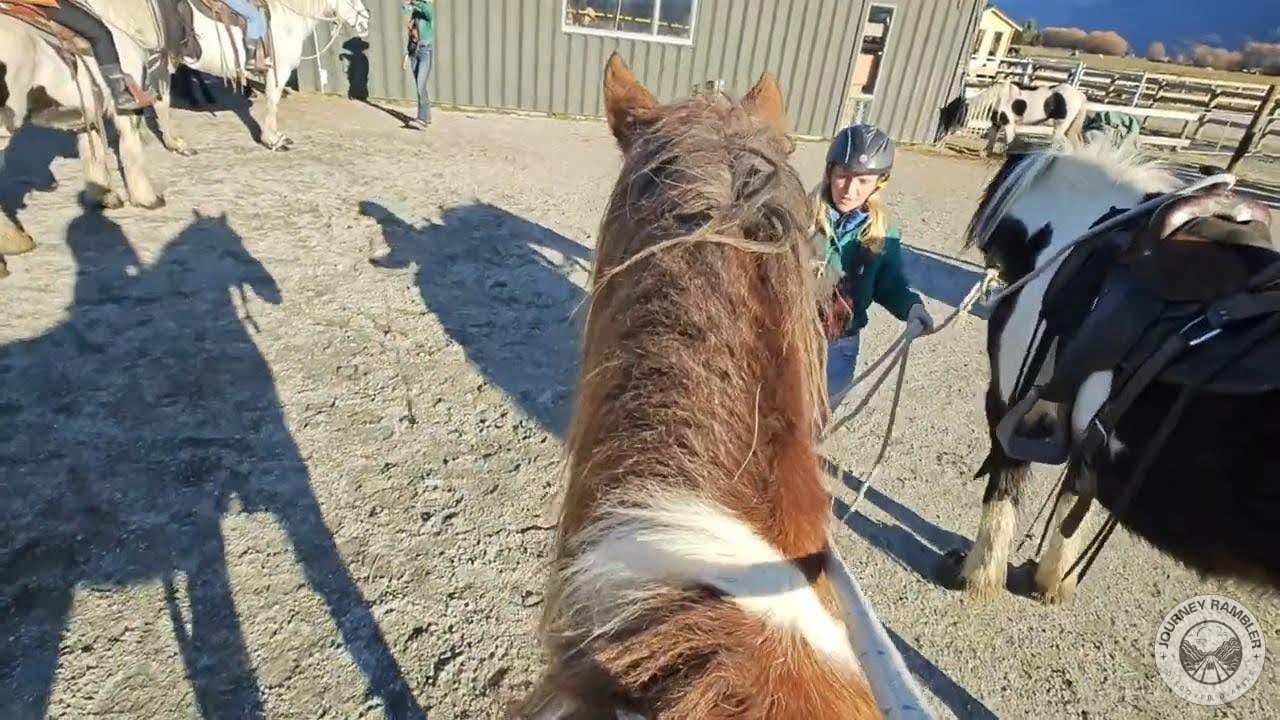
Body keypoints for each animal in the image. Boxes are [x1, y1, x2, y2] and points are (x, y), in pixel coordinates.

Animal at [0, 11, 164, 276]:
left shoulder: (86, 113)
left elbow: (93, 151)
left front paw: (103, 195)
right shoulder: (127, 111)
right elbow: (131, 152)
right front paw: (147, 199)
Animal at [936, 80, 1088, 157]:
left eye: (953, 117)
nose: (938, 144)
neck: (998, 99)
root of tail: (1080, 95)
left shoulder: (1008, 123)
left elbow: (1008, 141)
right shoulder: (996, 123)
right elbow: (991, 139)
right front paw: (985, 154)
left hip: (1060, 127)